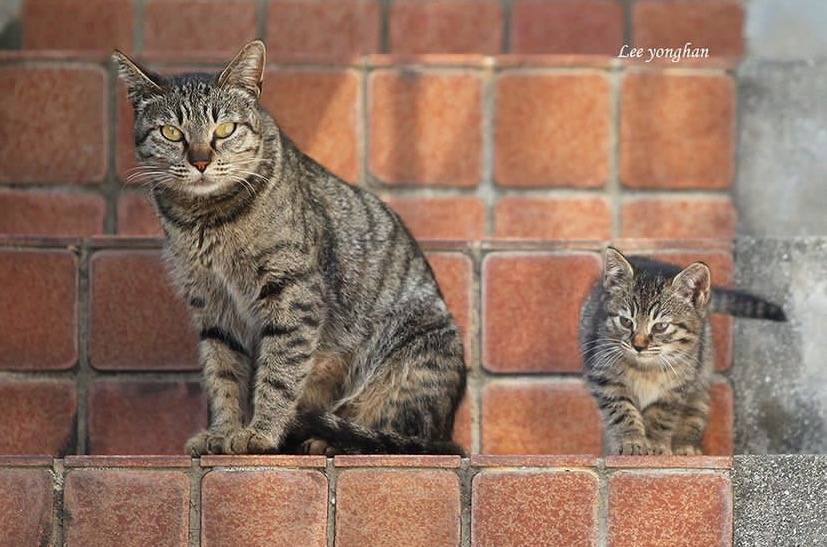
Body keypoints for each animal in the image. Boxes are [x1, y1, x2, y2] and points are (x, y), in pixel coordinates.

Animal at [113, 40, 468, 456]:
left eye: (225, 129)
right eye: (171, 132)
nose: (200, 161)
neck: (205, 219)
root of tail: (448, 426)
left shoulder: (293, 292)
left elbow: (279, 370)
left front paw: (261, 432)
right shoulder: (209, 302)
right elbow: (222, 374)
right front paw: (222, 431)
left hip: (414, 366)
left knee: (393, 436)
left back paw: (330, 441)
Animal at [580, 247, 784, 454]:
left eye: (660, 326)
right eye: (626, 322)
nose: (638, 346)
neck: (647, 369)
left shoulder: (677, 388)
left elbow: (661, 416)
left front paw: (655, 444)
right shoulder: (605, 377)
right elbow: (621, 411)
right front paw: (631, 441)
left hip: (700, 377)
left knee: (695, 411)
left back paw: (686, 446)